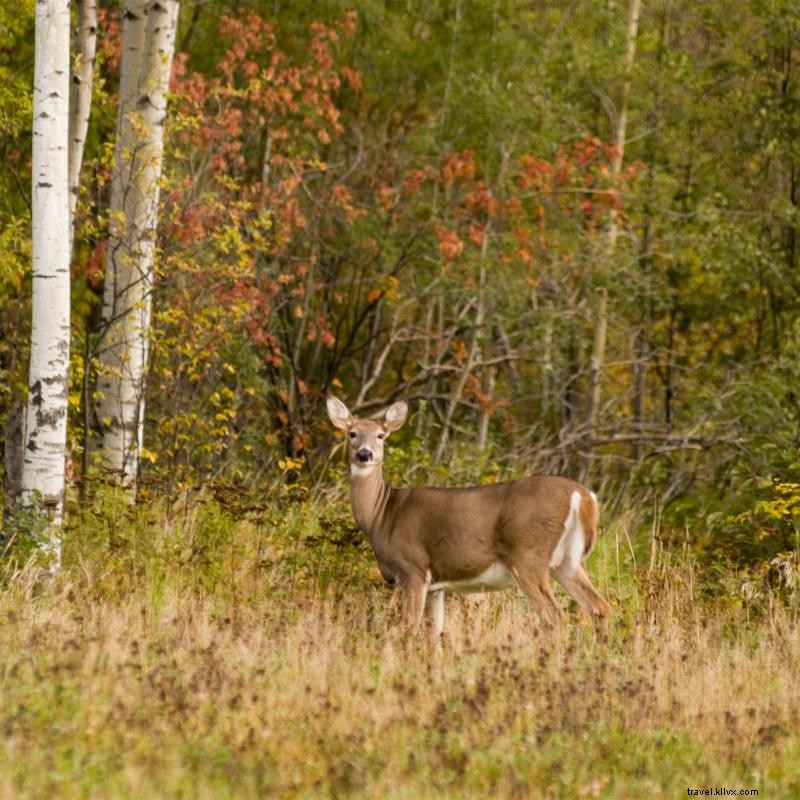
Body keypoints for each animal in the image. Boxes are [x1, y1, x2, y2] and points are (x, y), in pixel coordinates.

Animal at [326, 396, 612, 640]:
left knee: (554, 616)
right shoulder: (436, 586)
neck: (381, 515)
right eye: (352, 433)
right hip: (568, 561)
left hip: (528, 556)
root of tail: (582, 495)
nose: (365, 454)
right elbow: (434, 634)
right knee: (600, 607)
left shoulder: (413, 569)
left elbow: (407, 626)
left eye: (381, 435)